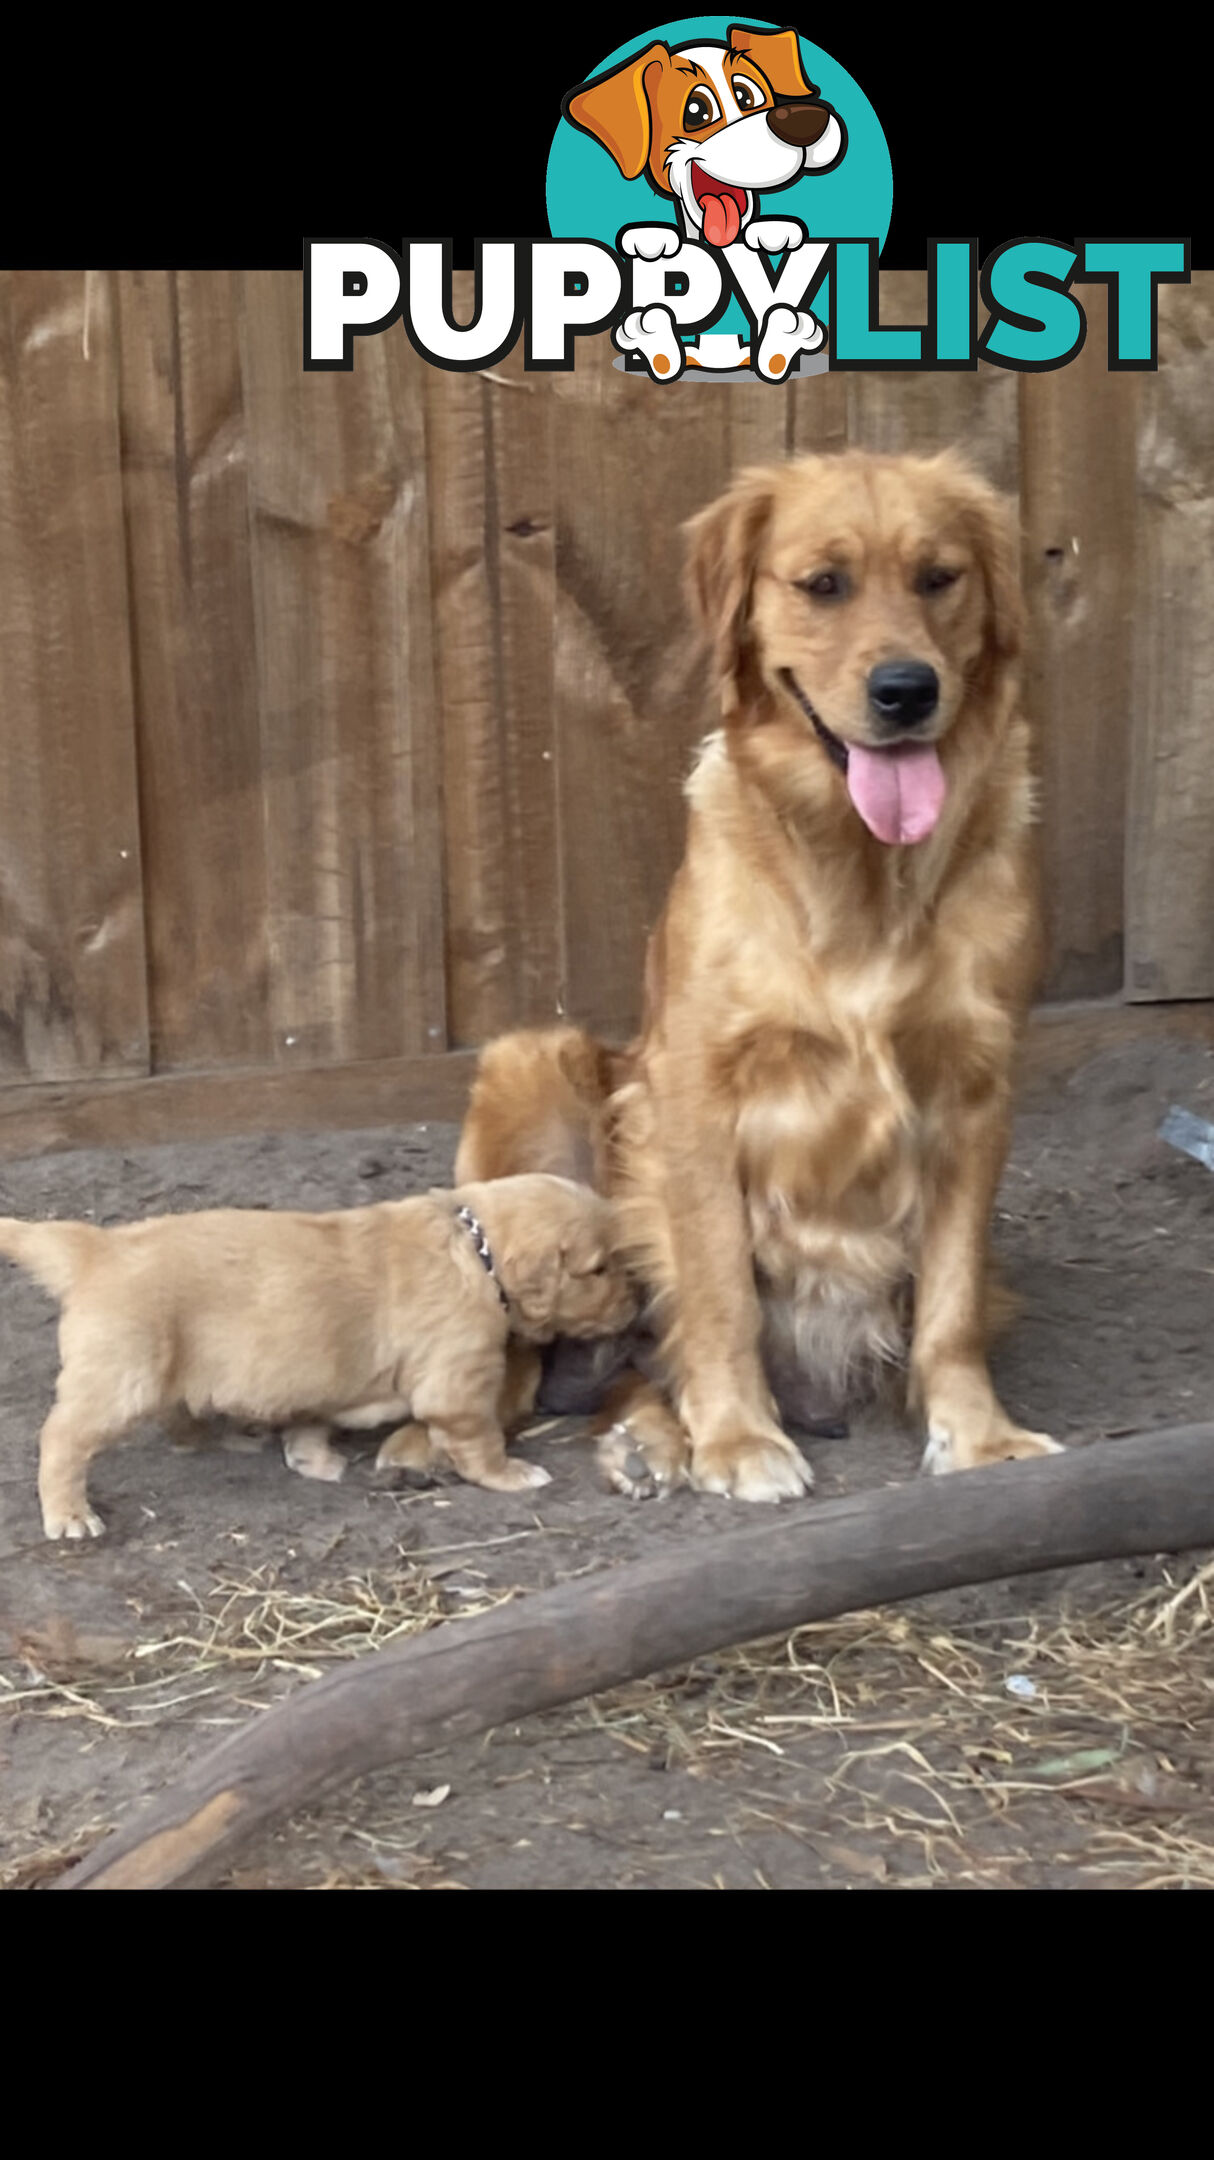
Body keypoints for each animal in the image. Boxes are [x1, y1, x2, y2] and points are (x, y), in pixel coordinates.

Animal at [0, 1175, 639, 1546]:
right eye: (599, 1269)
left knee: (176, 1416)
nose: (636, 1307)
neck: (473, 1249)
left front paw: (313, 1461)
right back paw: (69, 1514)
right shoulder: (458, 1382)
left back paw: (224, 1439)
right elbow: (479, 1439)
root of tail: (95, 1248)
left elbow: (311, 1422)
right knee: (61, 1438)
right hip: (119, 1378)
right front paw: (511, 1475)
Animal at [457, 451, 1062, 1503]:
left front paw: (977, 1436)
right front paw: (737, 1436)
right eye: (823, 584)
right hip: (529, 1064)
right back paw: (651, 1439)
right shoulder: (697, 1094)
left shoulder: (974, 1091)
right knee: (623, 1352)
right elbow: (718, 1290)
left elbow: (949, 1304)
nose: (907, 689)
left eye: (939, 578)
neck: (861, 872)